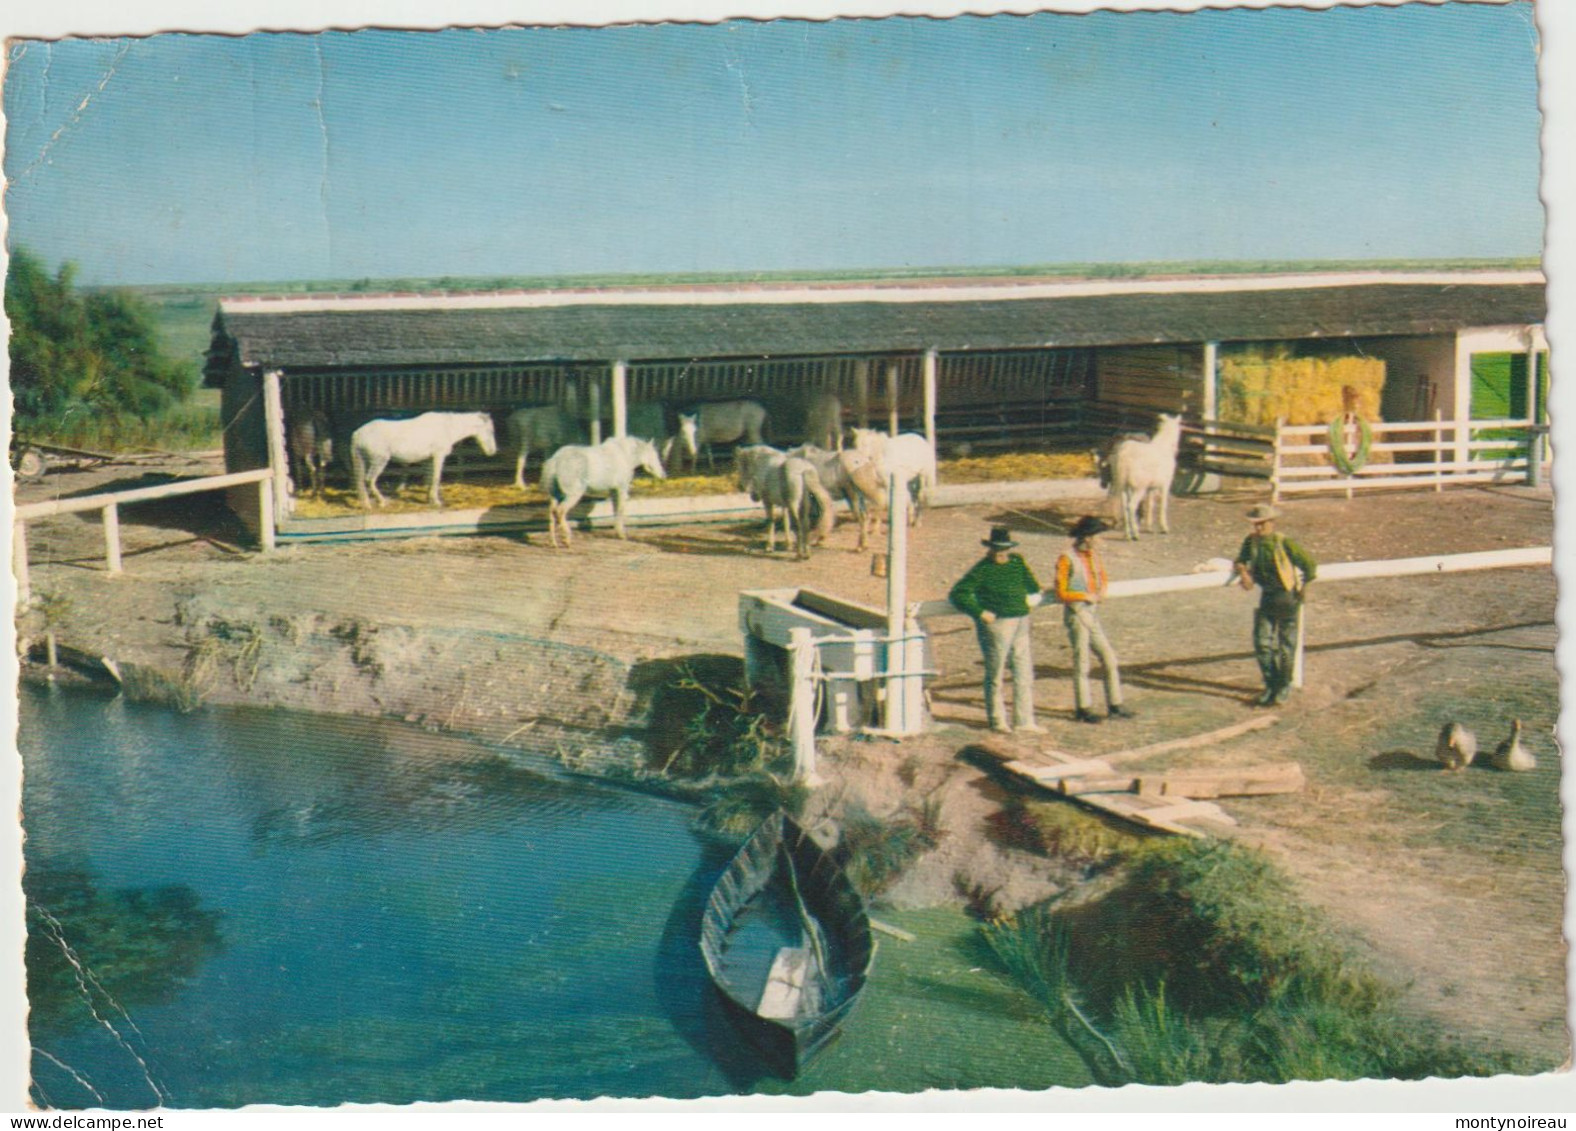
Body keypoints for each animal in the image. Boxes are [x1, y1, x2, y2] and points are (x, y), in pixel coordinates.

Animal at [353, 412, 494, 510]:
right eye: (490, 431)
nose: (492, 451)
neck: (447, 427)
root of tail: (358, 433)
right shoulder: (438, 456)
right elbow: (436, 478)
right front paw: (436, 502)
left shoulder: (428, 460)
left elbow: (429, 478)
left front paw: (429, 499)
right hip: (379, 461)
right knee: (369, 480)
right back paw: (382, 502)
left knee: (361, 482)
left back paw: (367, 504)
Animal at [1109, 412, 1185, 541]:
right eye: (1179, 429)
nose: (1177, 448)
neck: (1165, 445)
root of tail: (1124, 453)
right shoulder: (1165, 484)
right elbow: (1163, 505)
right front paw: (1164, 527)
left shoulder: (1151, 486)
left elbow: (1150, 504)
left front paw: (1149, 526)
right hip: (1139, 486)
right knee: (1131, 506)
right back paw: (1135, 534)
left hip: (1122, 483)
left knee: (1124, 507)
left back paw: (1127, 534)